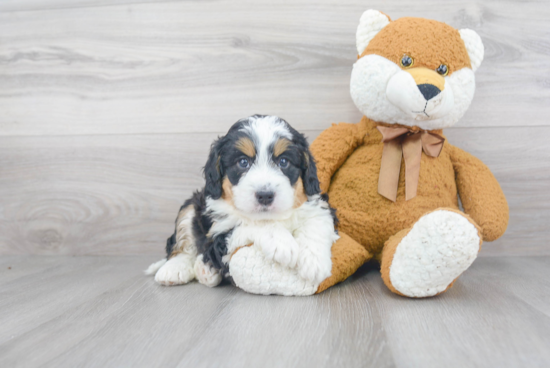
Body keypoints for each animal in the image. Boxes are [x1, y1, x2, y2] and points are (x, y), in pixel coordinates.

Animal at [144, 114, 338, 290]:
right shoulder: (219, 234)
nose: (265, 195)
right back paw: (173, 270)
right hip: (192, 205)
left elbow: (317, 223)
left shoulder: (319, 205)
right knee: (182, 243)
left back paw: (205, 270)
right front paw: (282, 243)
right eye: (243, 162)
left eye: (283, 161)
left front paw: (314, 263)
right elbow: (251, 222)